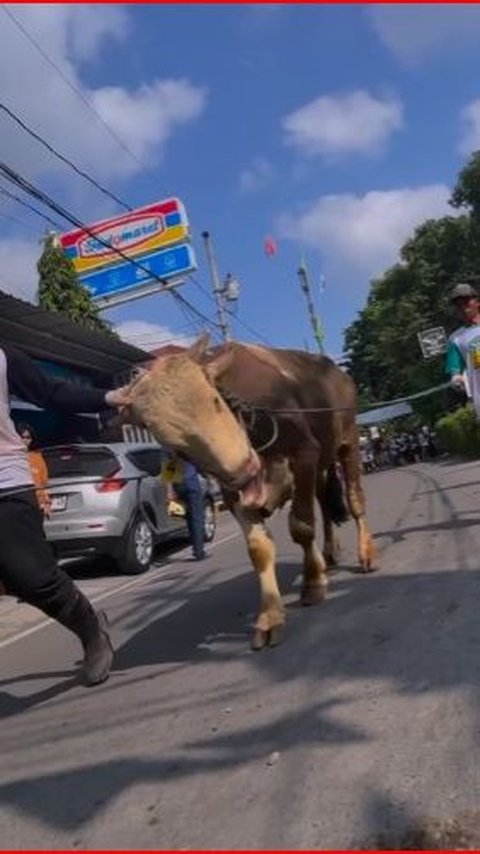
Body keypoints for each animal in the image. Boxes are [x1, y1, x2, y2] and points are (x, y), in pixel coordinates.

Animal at [120, 338, 376, 652]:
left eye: (215, 401)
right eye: (174, 445)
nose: (245, 468)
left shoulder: (305, 453)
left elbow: (301, 526)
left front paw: (314, 584)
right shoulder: (233, 489)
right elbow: (259, 548)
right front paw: (269, 618)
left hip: (347, 440)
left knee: (353, 498)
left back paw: (365, 553)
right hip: (321, 467)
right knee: (325, 508)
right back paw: (328, 553)